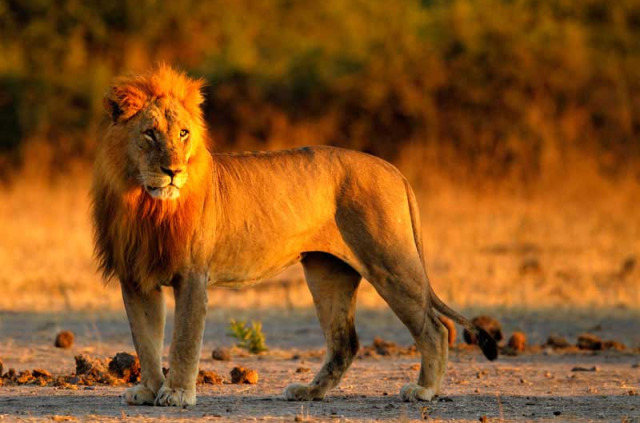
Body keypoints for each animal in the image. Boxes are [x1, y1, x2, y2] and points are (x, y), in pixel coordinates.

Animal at [92, 65, 498, 408]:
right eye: (149, 133)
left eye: (183, 133)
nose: (173, 171)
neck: (145, 204)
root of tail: (393, 169)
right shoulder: (135, 277)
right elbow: (145, 340)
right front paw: (148, 391)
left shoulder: (192, 274)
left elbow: (183, 341)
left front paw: (176, 394)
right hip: (327, 273)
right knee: (345, 342)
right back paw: (310, 392)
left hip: (390, 261)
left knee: (435, 328)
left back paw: (424, 390)